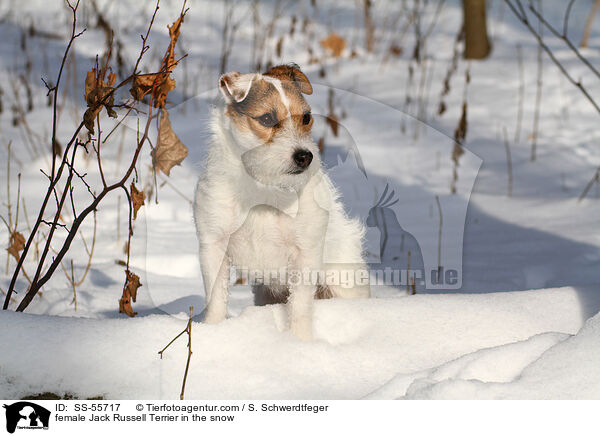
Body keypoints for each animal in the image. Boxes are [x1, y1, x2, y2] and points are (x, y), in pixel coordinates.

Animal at [195, 63, 368, 340]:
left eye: (306, 117)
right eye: (267, 119)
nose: (305, 156)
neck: (264, 188)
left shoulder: (305, 253)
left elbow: (299, 306)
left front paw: (299, 342)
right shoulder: (213, 244)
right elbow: (215, 299)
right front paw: (213, 331)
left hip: (342, 281)